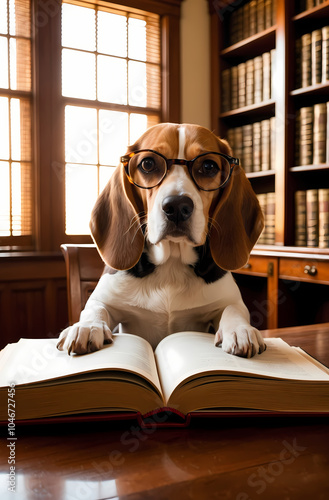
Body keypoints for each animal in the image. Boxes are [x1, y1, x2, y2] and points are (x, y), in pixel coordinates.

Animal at [57, 123, 266, 358]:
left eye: (209, 166)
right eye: (148, 164)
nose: (177, 206)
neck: (171, 263)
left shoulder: (227, 299)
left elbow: (234, 309)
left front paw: (241, 329)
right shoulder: (105, 299)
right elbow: (94, 308)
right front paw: (86, 327)